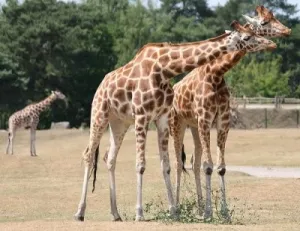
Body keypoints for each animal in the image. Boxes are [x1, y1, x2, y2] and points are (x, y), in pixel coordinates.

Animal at [170, 6, 292, 220]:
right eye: (264, 23)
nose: (286, 32)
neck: (216, 73)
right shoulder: (205, 119)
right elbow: (208, 165)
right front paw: (210, 213)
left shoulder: (222, 121)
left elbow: (220, 167)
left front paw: (223, 213)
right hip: (177, 124)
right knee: (177, 162)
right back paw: (176, 211)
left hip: (193, 126)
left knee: (194, 161)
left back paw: (198, 209)